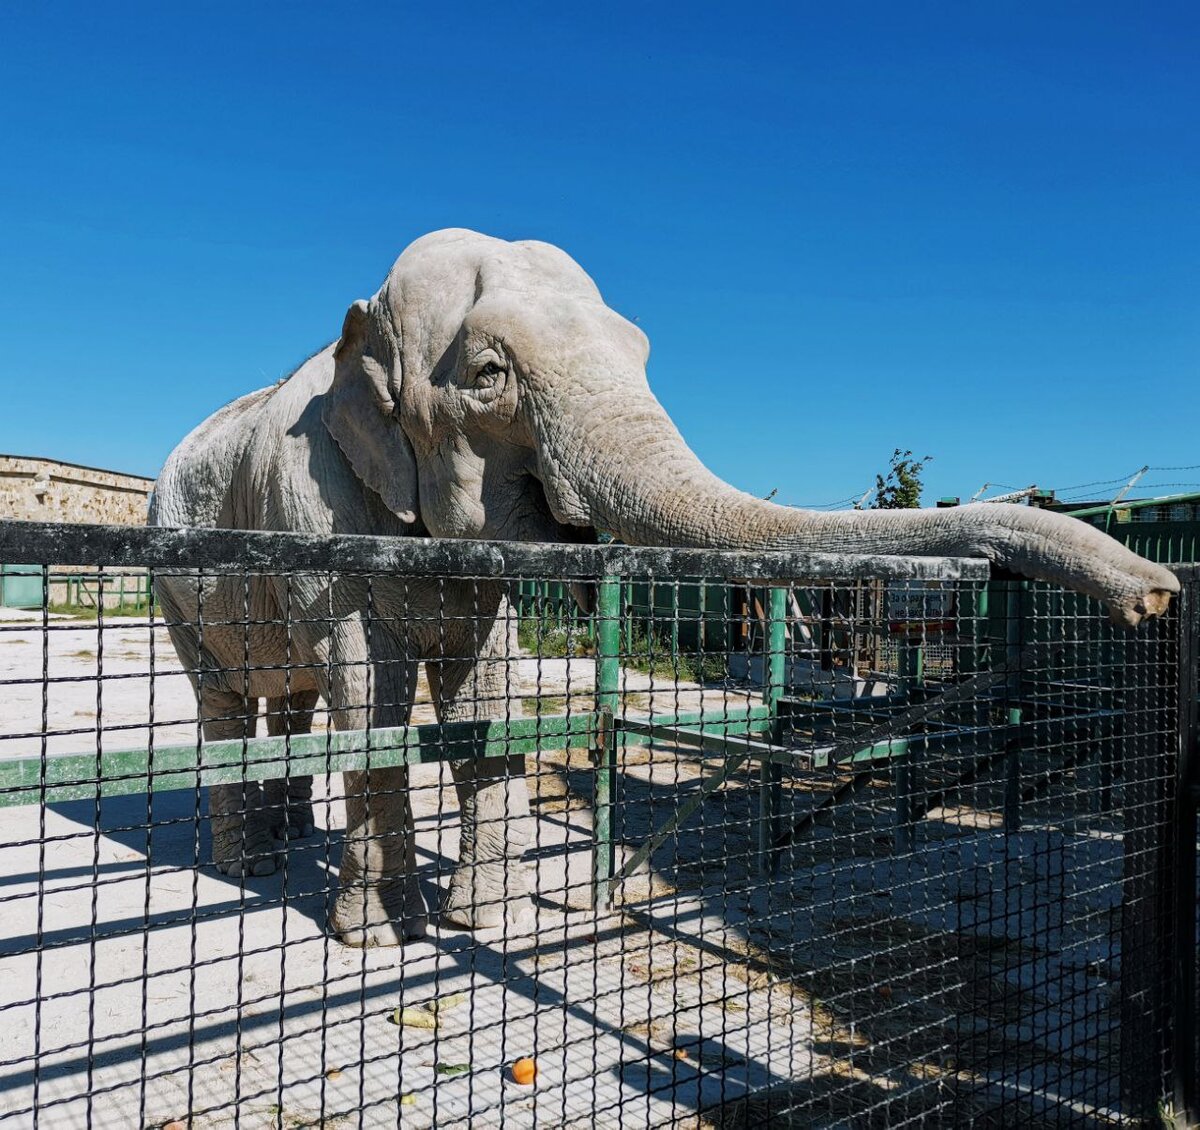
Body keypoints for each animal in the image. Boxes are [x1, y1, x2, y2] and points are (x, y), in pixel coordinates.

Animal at [147, 227, 1171, 945]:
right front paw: (378, 938)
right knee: (231, 701)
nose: (1159, 595)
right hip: (172, 577)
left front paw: (481, 923)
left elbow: (484, 696)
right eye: (487, 375)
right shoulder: (315, 516)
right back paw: (249, 869)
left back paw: (288, 845)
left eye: (640, 354)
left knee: (288, 700)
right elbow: (371, 695)